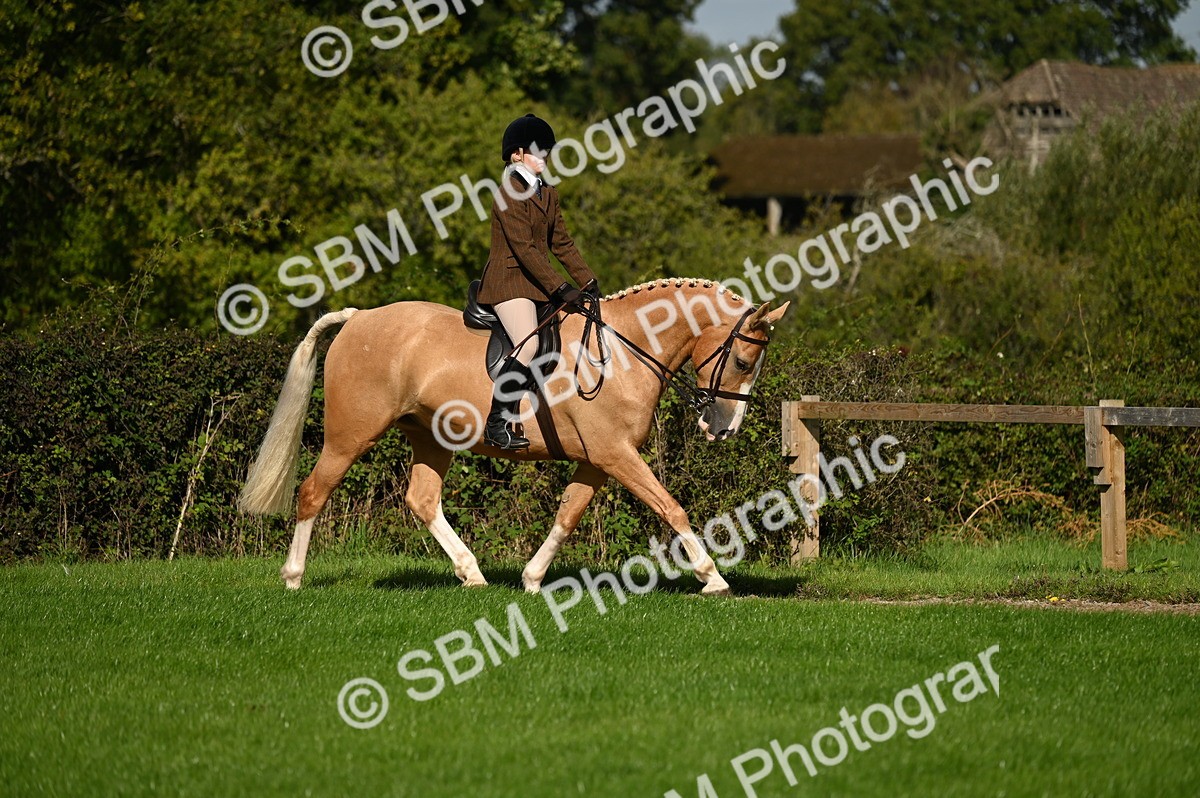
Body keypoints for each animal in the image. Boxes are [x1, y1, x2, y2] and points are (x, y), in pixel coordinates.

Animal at [238, 278, 789, 595]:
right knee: (313, 492)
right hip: (351, 436)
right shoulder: (616, 455)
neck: (624, 350)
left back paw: (472, 574)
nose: (723, 428)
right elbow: (671, 508)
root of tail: (359, 318)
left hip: (432, 439)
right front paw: (714, 579)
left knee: (422, 499)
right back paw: (293, 579)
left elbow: (567, 515)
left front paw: (531, 579)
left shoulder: (598, 460)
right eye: (743, 361)